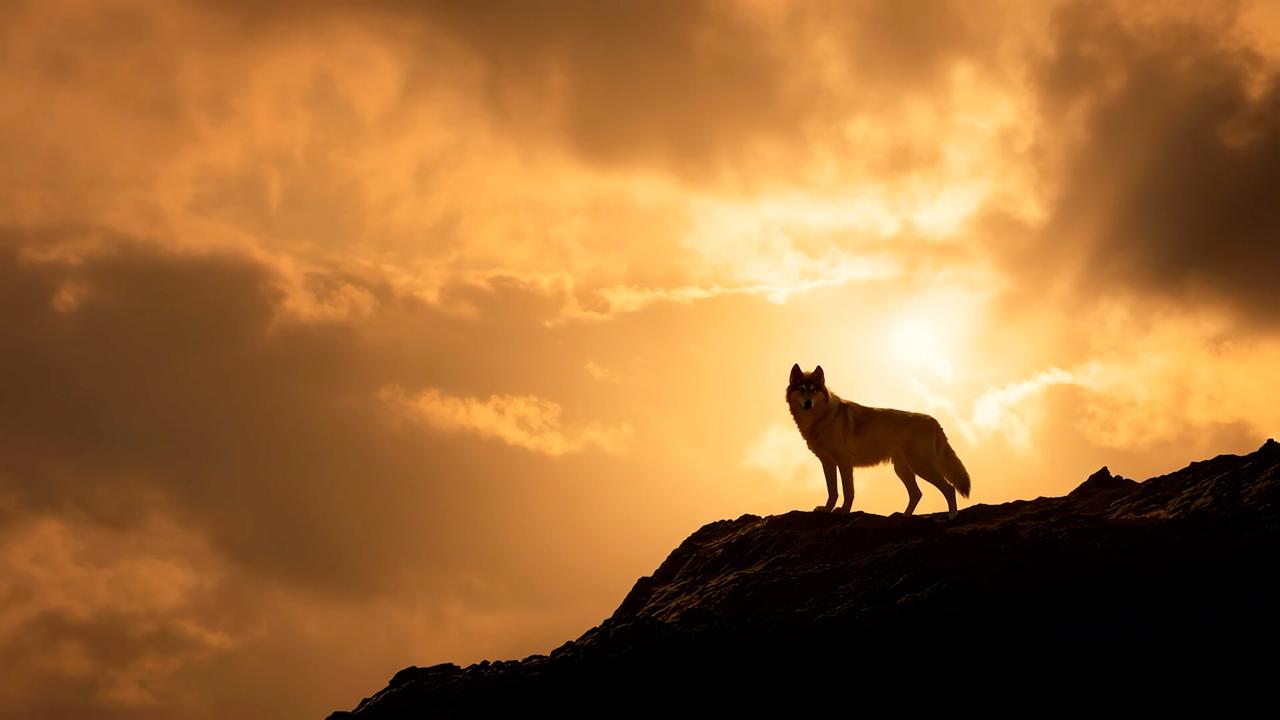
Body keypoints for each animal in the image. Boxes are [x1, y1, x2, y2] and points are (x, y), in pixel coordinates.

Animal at [786, 364, 971, 519]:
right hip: (903, 469)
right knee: (917, 494)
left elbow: (848, 491)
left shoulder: (844, 462)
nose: (808, 403)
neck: (821, 419)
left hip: (921, 466)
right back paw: (904, 516)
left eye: (813, 390)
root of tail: (933, 421)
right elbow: (832, 491)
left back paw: (952, 516)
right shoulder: (828, 463)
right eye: (802, 390)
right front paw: (826, 509)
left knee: (949, 488)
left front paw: (844, 511)